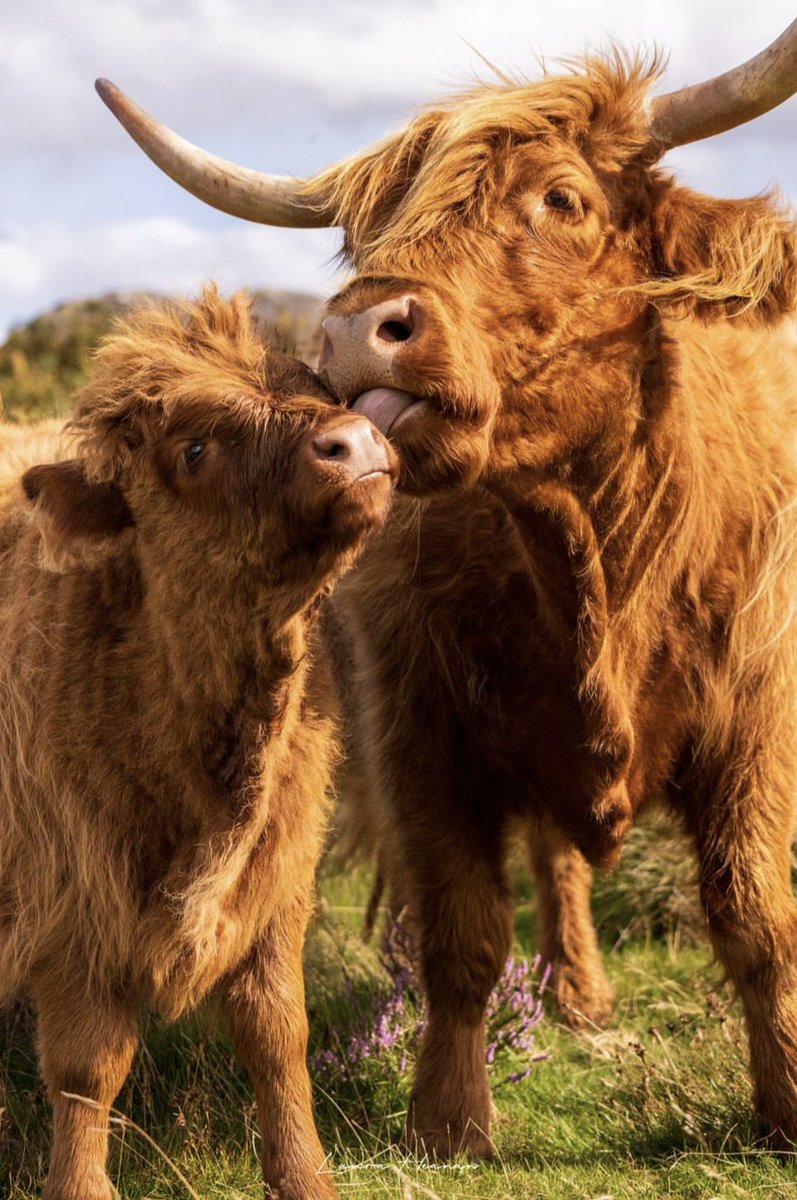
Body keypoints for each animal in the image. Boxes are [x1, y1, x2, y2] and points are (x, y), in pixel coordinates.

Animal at [0, 290, 396, 1200]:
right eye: (192, 449)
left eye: (309, 385)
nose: (353, 443)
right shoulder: (68, 896)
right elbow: (87, 1068)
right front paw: (78, 1187)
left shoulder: (278, 881)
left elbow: (278, 1035)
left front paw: (304, 1177)